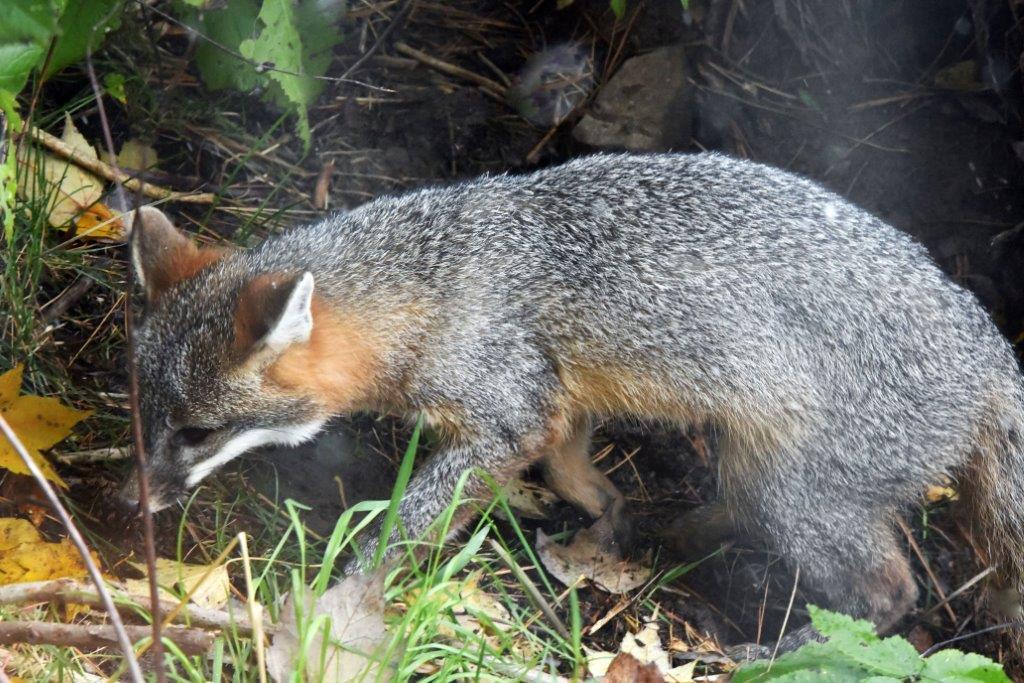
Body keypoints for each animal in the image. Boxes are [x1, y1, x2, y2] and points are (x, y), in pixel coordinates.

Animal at [120, 152, 1024, 656]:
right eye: (143, 413)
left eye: (197, 431)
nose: (133, 501)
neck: (431, 280)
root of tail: (992, 346)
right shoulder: (557, 403)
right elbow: (573, 469)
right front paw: (608, 515)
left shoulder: (503, 413)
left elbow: (404, 522)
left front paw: (341, 596)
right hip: (757, 460)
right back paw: (678, 531)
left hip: (799, 491)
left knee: (892, 596)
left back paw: (779, 649)